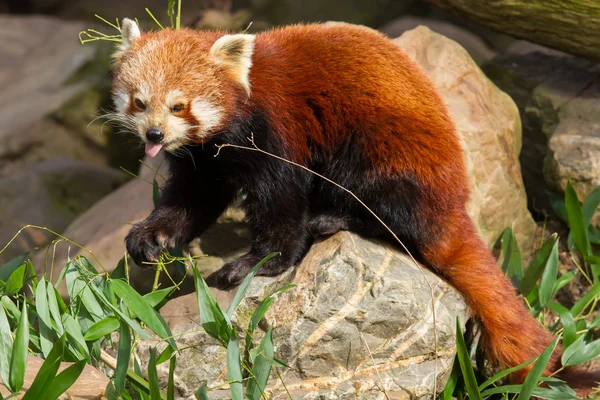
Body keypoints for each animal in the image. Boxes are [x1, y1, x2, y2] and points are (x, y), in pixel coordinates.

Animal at [113, 18, 600, 394]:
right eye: (140, 101)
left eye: (179, 105)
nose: (154, 134)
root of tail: (454, 198)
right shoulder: (206, 161)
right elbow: (191, 200)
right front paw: (151, 237)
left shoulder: (276, 131)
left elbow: (281, 200)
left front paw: (258, 262)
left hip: (386, 148)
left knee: (389, 209)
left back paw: (336, 218)